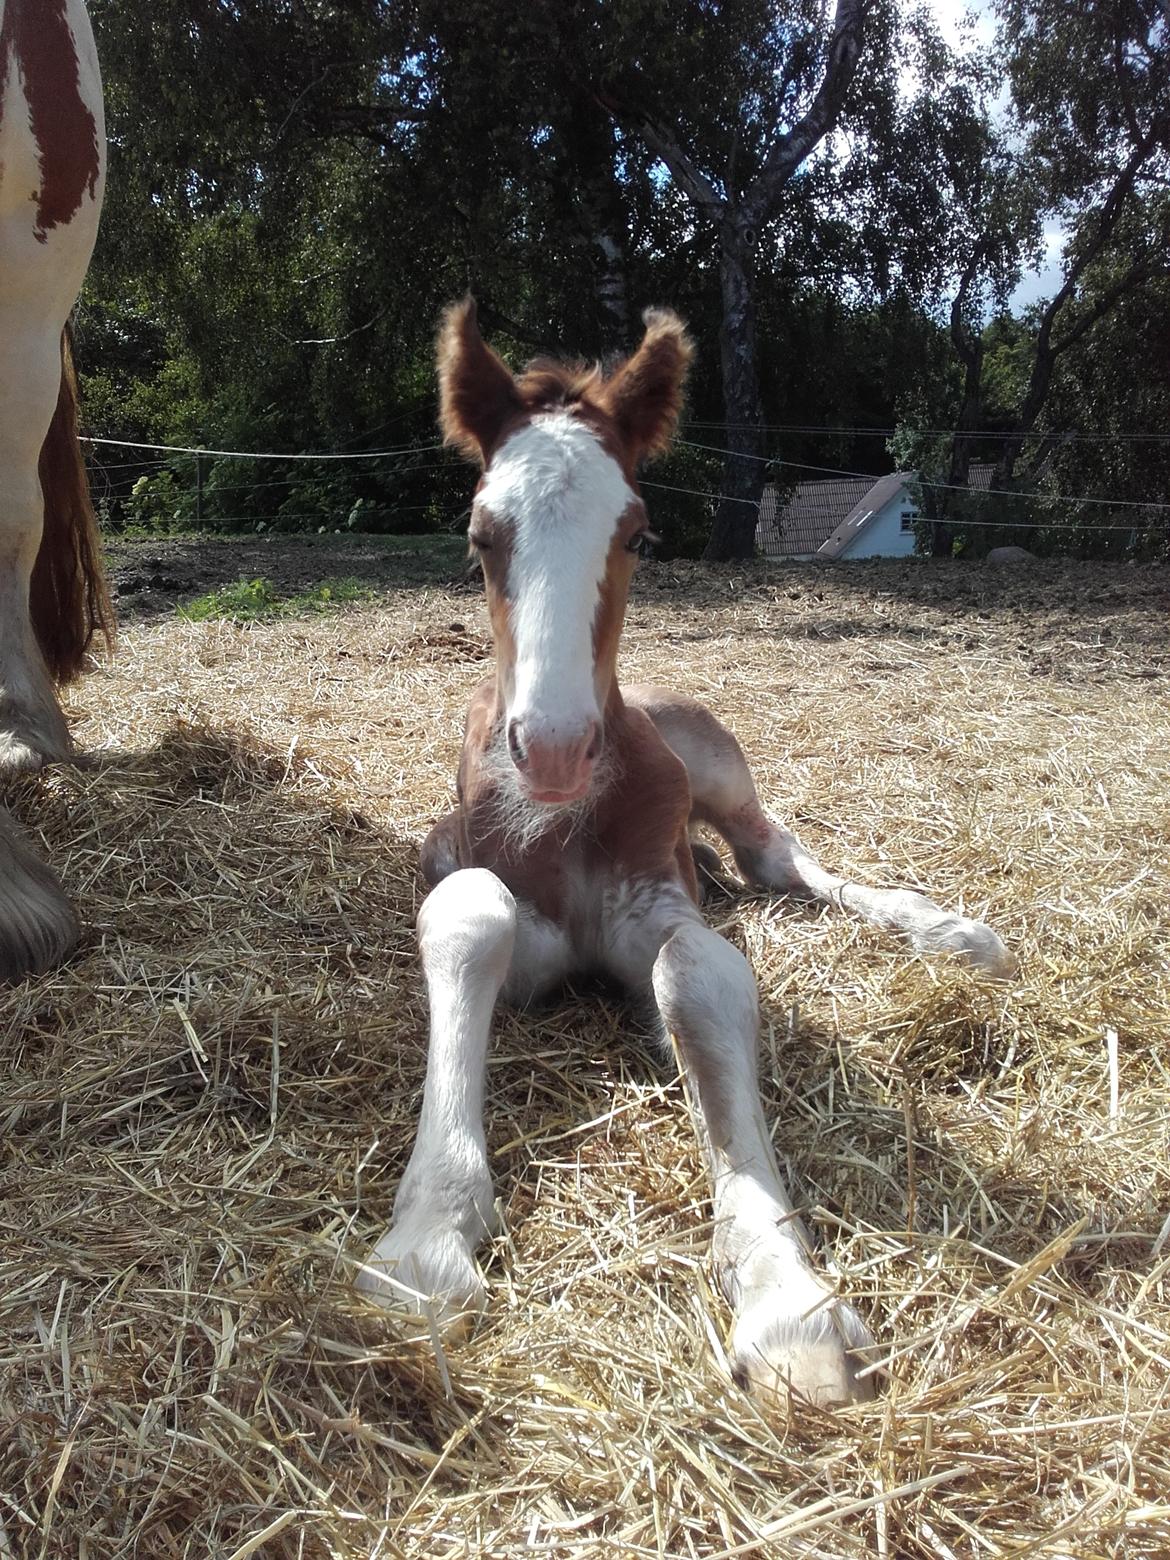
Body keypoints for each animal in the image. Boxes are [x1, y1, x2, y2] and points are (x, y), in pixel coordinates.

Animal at [360, 297, 1017, 1410]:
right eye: (481, 535)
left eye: (636, 532)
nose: (556, 749)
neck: (565, 824)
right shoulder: (459, 870)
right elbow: (469, 918)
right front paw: (425, 1247)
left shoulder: (660, 905)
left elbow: (699, 974)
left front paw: (786, 1301)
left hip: (718, 771)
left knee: (779, 859)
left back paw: (950, 932)